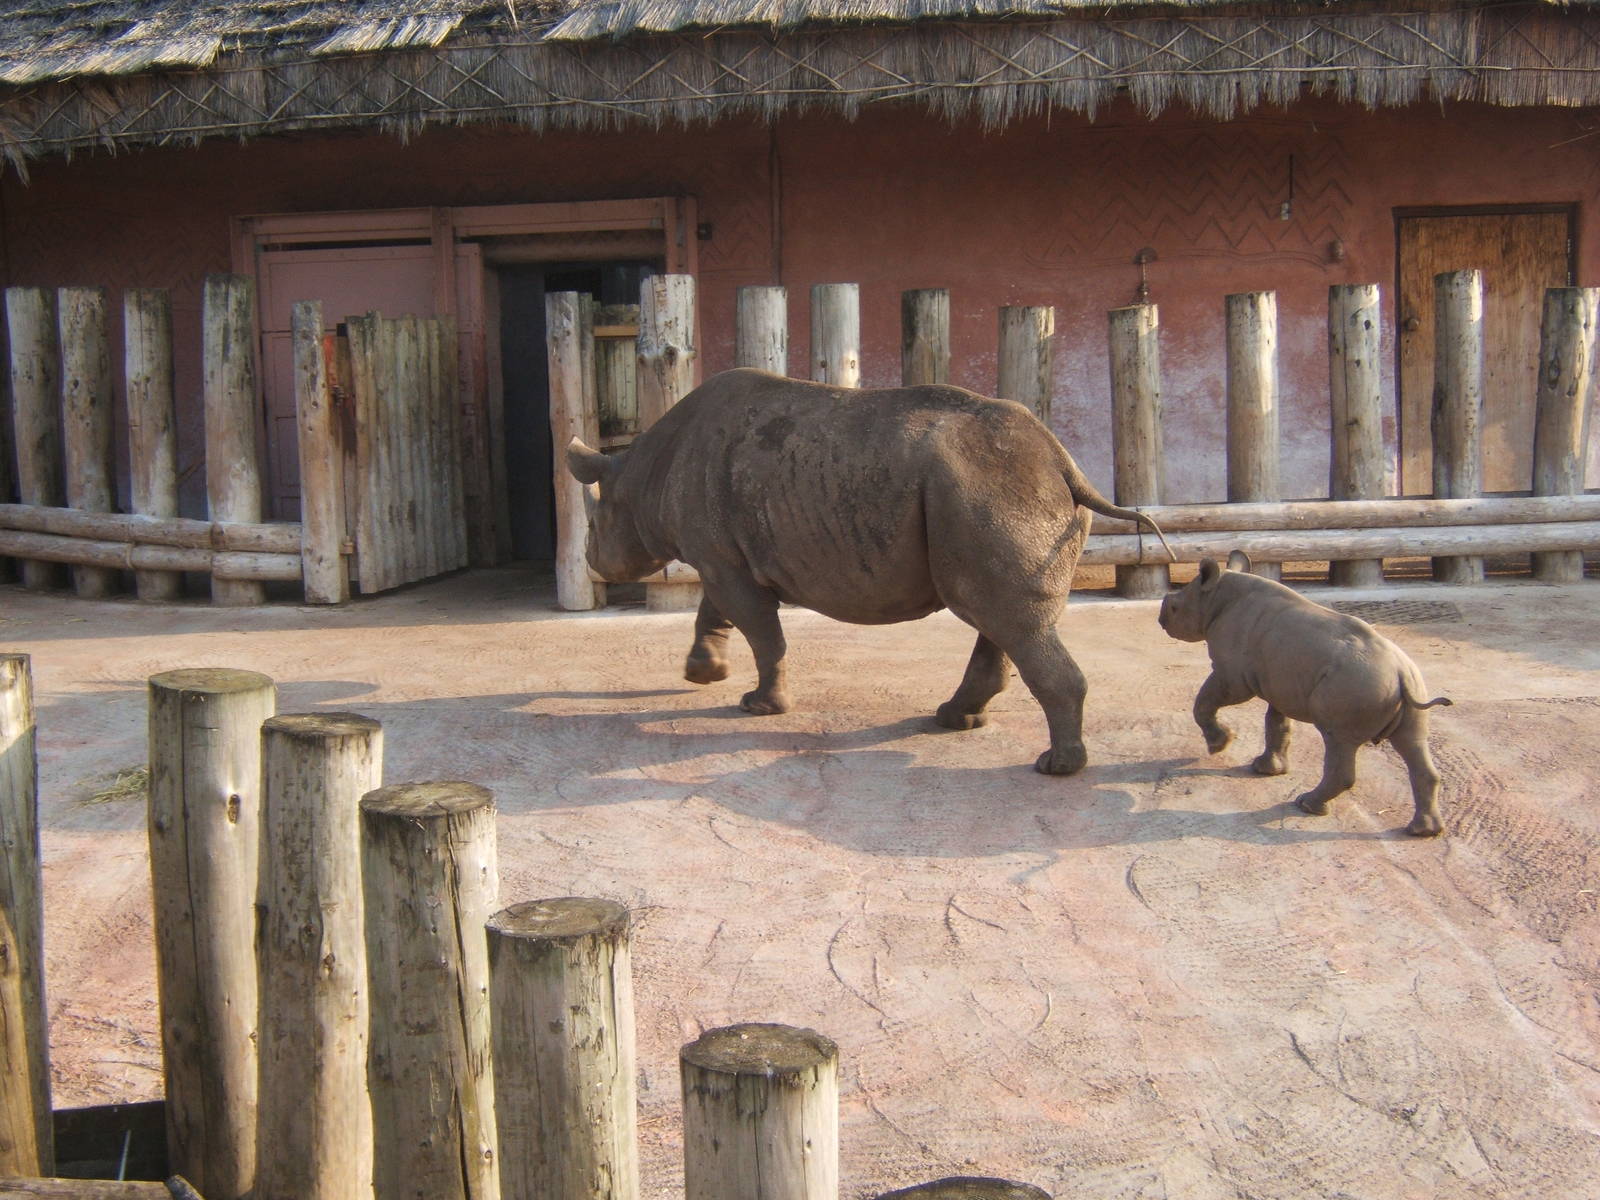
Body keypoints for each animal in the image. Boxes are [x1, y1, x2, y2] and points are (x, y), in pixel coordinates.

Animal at [566, 368, 1170, 775]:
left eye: (595, 527)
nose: (592, 561)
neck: (641, 471)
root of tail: (1062, 461)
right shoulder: (723, 555)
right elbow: (716, 613)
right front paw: (703, 675)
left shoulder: (720, 556)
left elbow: (760, 631)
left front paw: (759, 707)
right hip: (993, 491)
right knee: (1000, 617)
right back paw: (954, 720)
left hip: (988, 489)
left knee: (1003, 617)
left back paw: (1054, 766)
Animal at [1157, 551, 1450, 836]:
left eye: (1174, 607)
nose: (1161, 620)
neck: (1215, 596)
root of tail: (1400, 674)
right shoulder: (1280, 682)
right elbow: (1277, 724)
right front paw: (1266, 770)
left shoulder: (1233, 675)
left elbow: (1205, 701)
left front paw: (1220, 744)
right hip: (1405, 684)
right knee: (1412, 742)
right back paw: (1423, 831)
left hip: (1356, 685)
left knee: (1338, 740)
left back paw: (1306, 805)